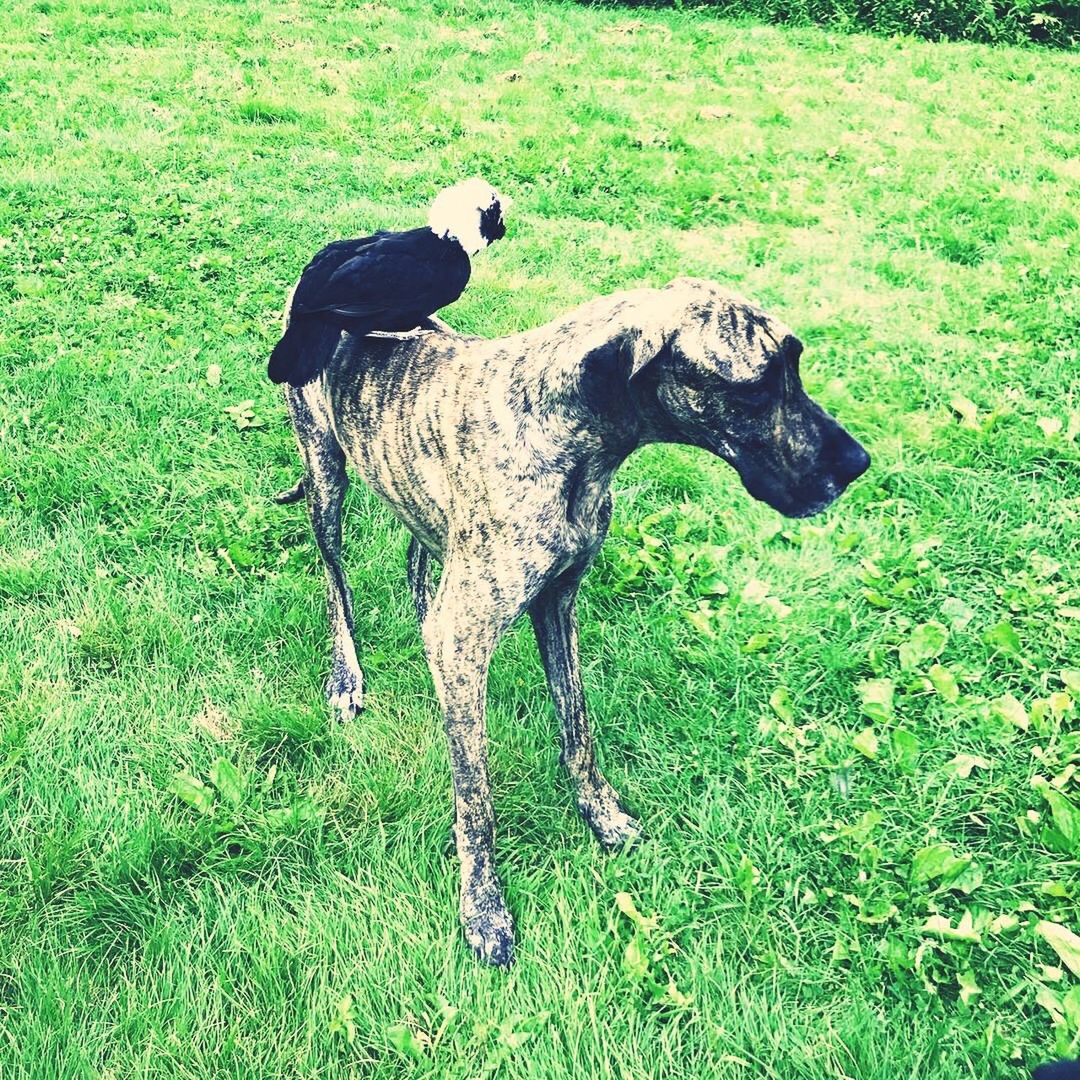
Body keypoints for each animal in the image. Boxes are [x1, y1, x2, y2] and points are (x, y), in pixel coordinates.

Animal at [276, 274, 868, 967]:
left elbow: (577, 725)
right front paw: (483, 907)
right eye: (755, 387)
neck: (561, 434)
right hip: (325, 474)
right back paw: (346, 675)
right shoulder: (471, 634)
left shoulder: (558, 602)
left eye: (796, 364)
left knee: (418, 559)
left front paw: (600, 813)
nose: (858, 463)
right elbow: (475, 796)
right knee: (335, 580)